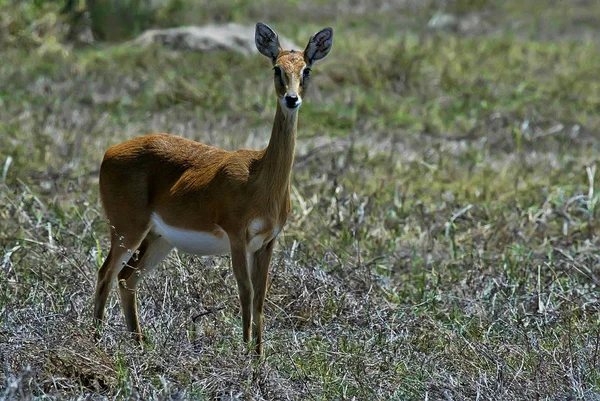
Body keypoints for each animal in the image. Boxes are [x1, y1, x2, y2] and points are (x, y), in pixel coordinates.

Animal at [92, 22, 332, 354]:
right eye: (277, 68)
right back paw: (95, 342)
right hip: (127, 229)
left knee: (128, 278)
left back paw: (140, 345)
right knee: (106, 273)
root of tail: (109, 151)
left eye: (306, 69)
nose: (291, 99)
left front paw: (259, 355)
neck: (260, 176)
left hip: (158, 238)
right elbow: (245, 291)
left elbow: (260, 296)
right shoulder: (237, 236)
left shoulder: (268, 241)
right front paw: (245, 353)